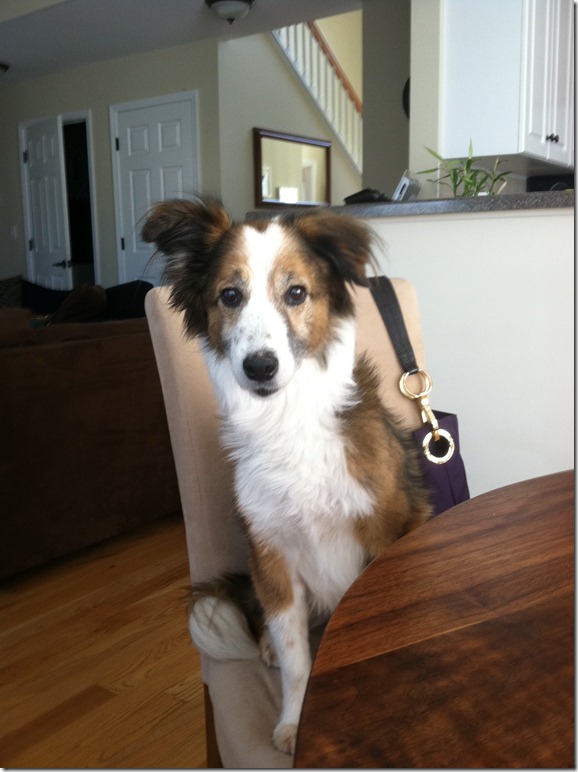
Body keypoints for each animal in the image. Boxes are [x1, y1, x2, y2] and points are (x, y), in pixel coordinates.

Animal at [142, 197, 431, 755]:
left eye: (296, 293)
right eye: (230, 296)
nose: (260, 366)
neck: (286, 419)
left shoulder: (384, 536)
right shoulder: (272, 556)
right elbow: (299, 660)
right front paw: (296, 722)